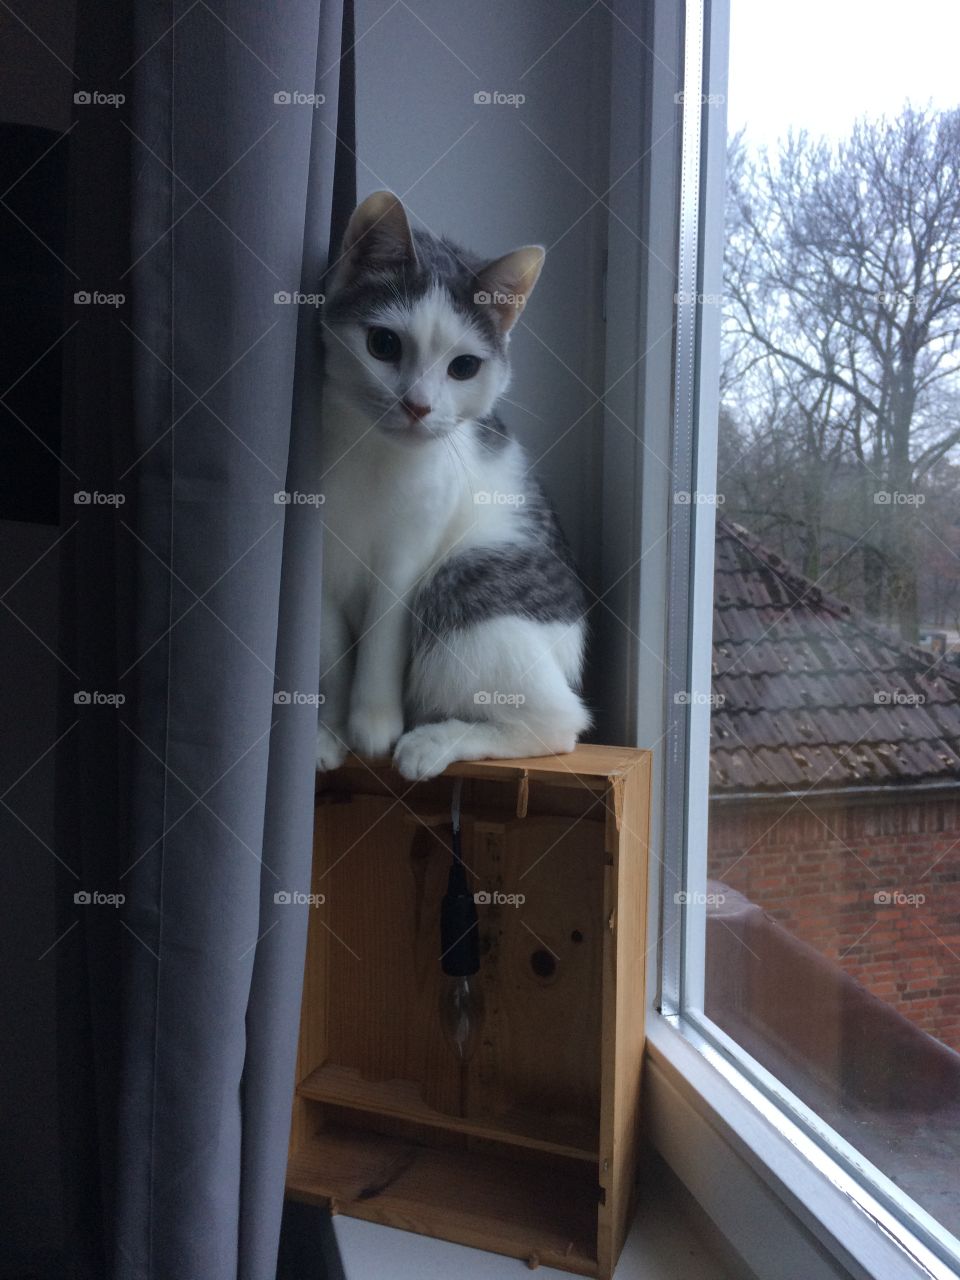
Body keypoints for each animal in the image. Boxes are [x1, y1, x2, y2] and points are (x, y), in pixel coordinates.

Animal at [317, 189, 586, 778]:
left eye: (463, 367)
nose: (417, 406)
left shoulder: (410, 551)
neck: (367, 453)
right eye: (383, 343)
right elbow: (331, 653)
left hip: (466, 577)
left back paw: (434, 741)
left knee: (561, 724)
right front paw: (328, 728)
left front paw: (372, 727)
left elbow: (382, 639)